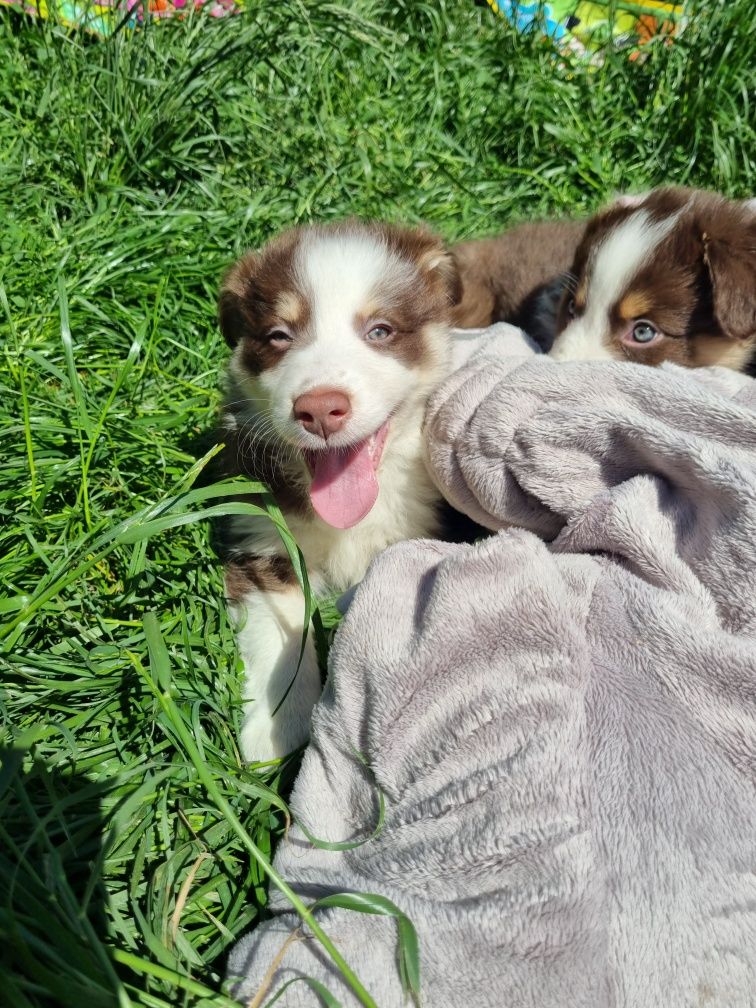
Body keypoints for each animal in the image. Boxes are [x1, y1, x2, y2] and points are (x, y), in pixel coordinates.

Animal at [214, 218, 461, 758]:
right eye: (279, 336)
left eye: (380, 330)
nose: (320, 408)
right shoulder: (263, 539)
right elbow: (281, 631)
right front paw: (278, 725)